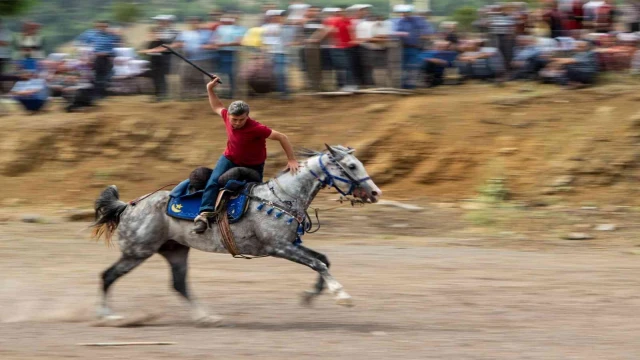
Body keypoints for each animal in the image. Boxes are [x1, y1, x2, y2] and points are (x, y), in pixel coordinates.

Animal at [90, 145, 380, 324]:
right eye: (351, 166)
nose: (375, 192)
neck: (281, 197)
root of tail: (129, 205)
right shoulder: (279, 247)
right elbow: (318, 263)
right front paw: (342, 296)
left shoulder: (291, 244)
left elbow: (323, 260)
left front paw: (310, 295)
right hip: (137, 251)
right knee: (108, 276)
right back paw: (108, 316)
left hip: (175, 250)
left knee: (179, 284)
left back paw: (206, 317)